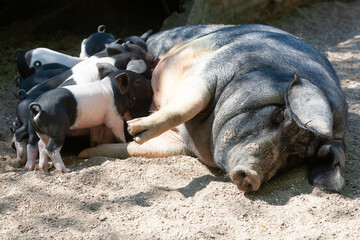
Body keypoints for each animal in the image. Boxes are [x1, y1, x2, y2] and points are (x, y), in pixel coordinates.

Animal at [79, 24, 348, 193]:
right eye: (280, 114)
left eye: (298, 155)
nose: (252, 175)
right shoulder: (212, 72)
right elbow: (187, 105)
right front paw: (133, 129)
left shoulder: (178, 144)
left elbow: (138, 149)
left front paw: (89, 151)